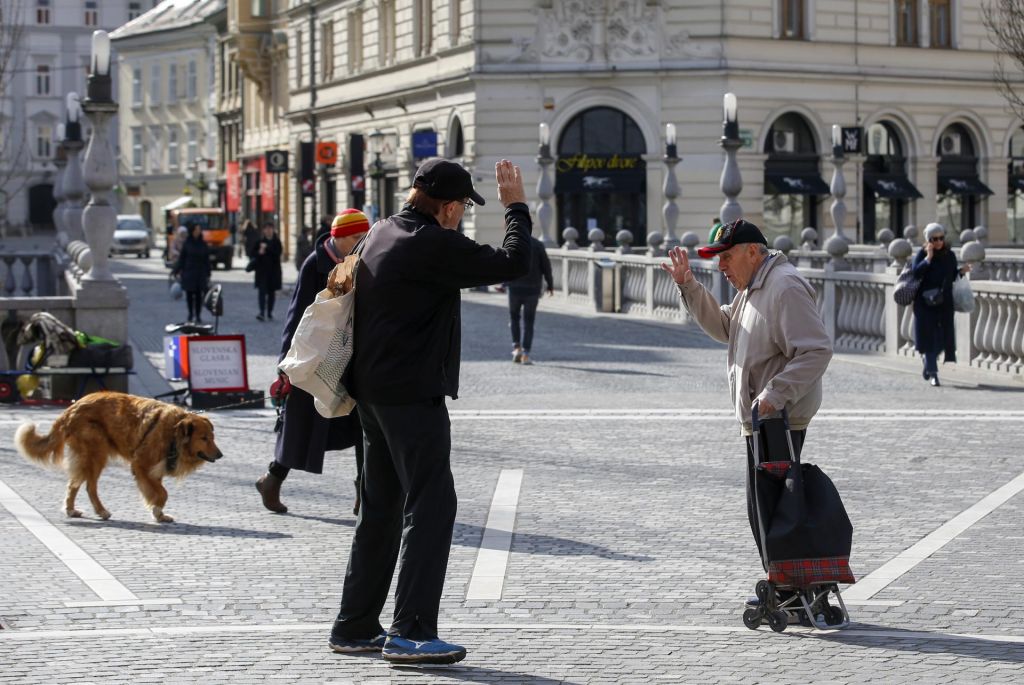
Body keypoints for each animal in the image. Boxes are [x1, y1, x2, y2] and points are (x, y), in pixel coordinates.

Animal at [14, 389, 223, 524]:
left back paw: (71, 510)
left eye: (212, 437)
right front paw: (157, 509)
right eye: (204, 438)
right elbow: (163, 493)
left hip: (87, 457)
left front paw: (159, 514)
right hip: (96, 453)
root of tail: (71, 409)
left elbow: (159, 490)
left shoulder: (155, 469)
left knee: (74, 484)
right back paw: (100, 511)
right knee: (89, 486)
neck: (173, 431)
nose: (220, 455)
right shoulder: (141, 465)